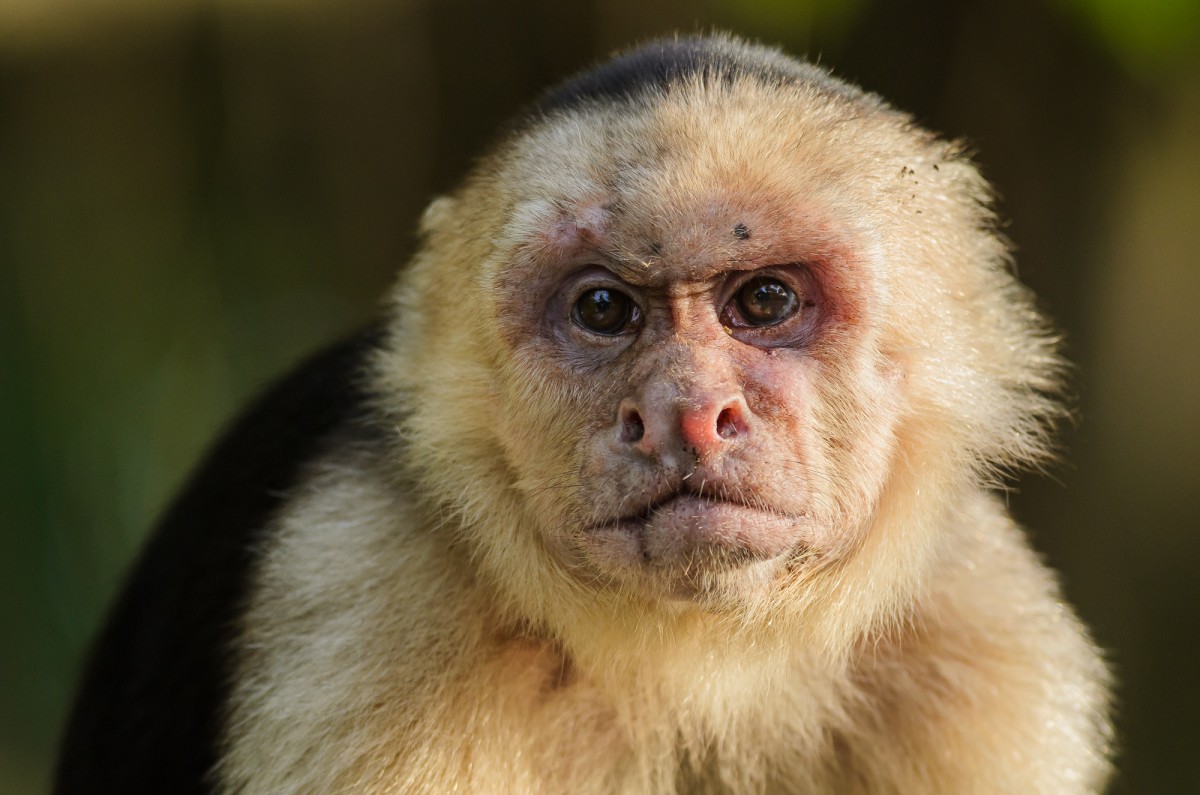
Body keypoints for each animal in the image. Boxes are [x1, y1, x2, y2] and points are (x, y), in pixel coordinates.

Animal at [56, 35, 1108, 795]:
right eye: (604, 309)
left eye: (765, 301)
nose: (687, 411)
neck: (697, 666)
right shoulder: (368, 592)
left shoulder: (987, 644)